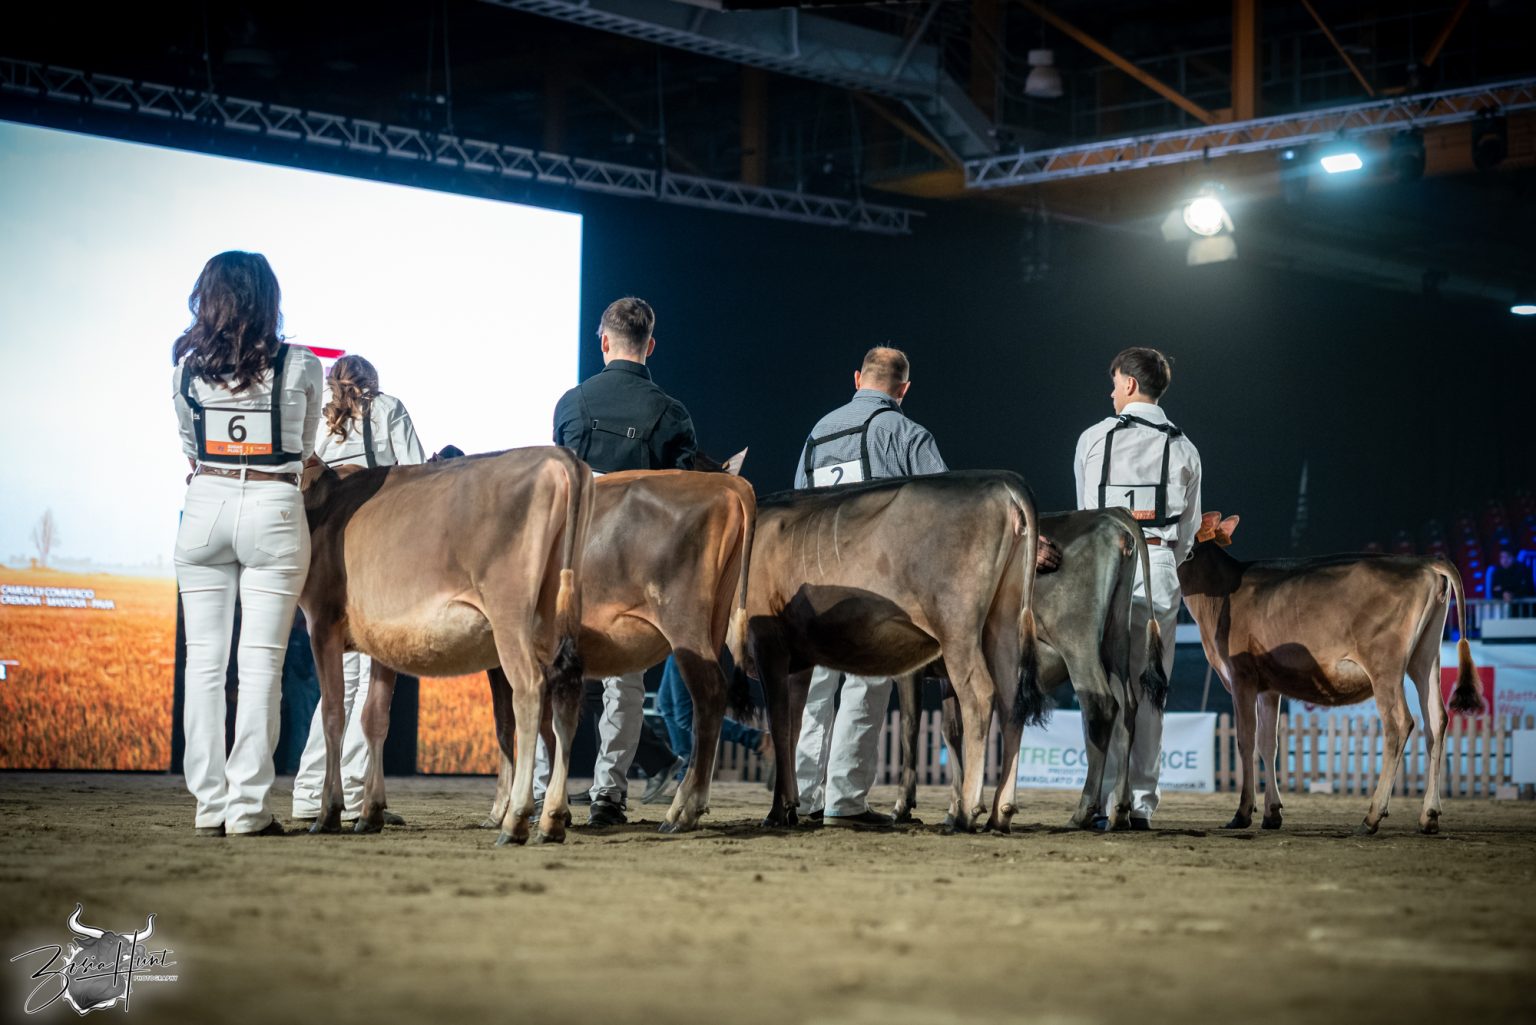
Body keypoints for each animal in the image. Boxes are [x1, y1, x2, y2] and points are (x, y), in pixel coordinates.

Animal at [299, 447, 594, 846]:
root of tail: (557, 455)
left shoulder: (321, 621)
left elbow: (333, 715)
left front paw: (329, 812)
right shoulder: (383, 640)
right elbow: (374, 718)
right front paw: (371, 812)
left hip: (510, 615)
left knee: (530, 692)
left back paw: (516, 818)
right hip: (556, 613)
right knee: (564, 695)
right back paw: (551, 820)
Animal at [483, 469, 757, 833]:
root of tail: (723, 482)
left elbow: (506, 724)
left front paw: (502, 810)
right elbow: (545, 724)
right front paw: (553, 809)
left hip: (684, 624)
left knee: (709, 695)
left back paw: (683, 811)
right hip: (715, 621)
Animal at [743, 470, 1045, 834]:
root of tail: (1001, 479)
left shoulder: (767, 641)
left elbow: (779, 723)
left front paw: (777, 812)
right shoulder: (798, 658)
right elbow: (793, 727)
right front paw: (788, 808)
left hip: (957, 625)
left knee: (979, 695)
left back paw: (966, 813)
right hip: (1003, 621)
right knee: (1011, 702)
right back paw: (1000, 813)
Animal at [894, 507, 1168, 831]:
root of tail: (1110, 515)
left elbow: (910, 726)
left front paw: (904, 805)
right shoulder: (947, 671)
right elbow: (952, 730)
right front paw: (954, 808)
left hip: (1077, 641)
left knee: (1099, 705)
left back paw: (1083, 811)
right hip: (1116, 638)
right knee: (1128, 707)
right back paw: (1120, 811)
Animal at [1179, 511, 1483, 835]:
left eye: (1190, 545)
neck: (1221, 590)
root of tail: (1424, 560)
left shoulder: (1241, 676)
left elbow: (1245, 740)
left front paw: (1243, 813)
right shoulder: (1268, 685)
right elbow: (1268, 742)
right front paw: (1272, 813)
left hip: (1384, 665)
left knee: (1399, 723)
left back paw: (1372, 816)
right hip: (1425, 658)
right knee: (1436, 721)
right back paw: (1429, 815)